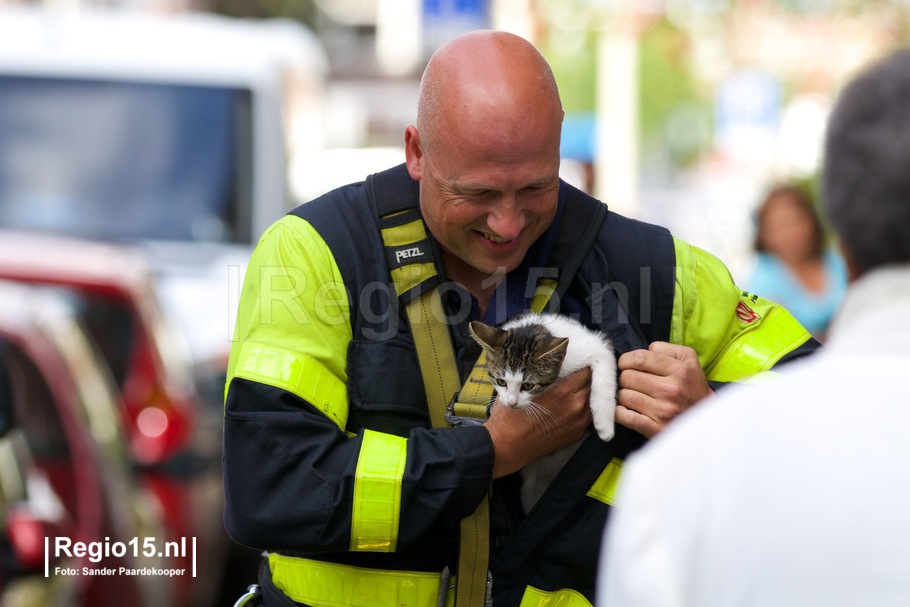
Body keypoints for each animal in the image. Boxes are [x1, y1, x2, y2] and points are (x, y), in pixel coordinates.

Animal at [470, 314, 620, 512]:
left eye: (528, 385)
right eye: (501, 381)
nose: (511, 402)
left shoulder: (596, 346)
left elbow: (603, 371)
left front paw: (605, 426)